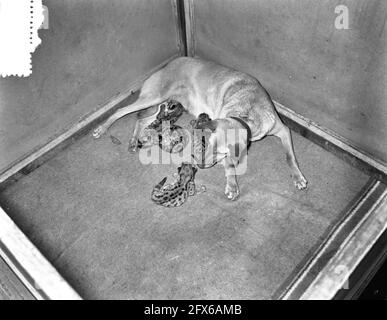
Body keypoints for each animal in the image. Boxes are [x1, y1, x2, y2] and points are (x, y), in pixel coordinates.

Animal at [92, 56, 308, 199]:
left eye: (219, 150)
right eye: (207, 143)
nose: (199, 163)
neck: (246, 114)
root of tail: (171, 62)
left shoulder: (283, 130)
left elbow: (290, 156)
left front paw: (298, 177)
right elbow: (231, 166)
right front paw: (232, 185)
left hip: (162, 103)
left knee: (141, 119)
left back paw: (133, 140)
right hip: (155, 96)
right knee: (122, 110)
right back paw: (101, 129)